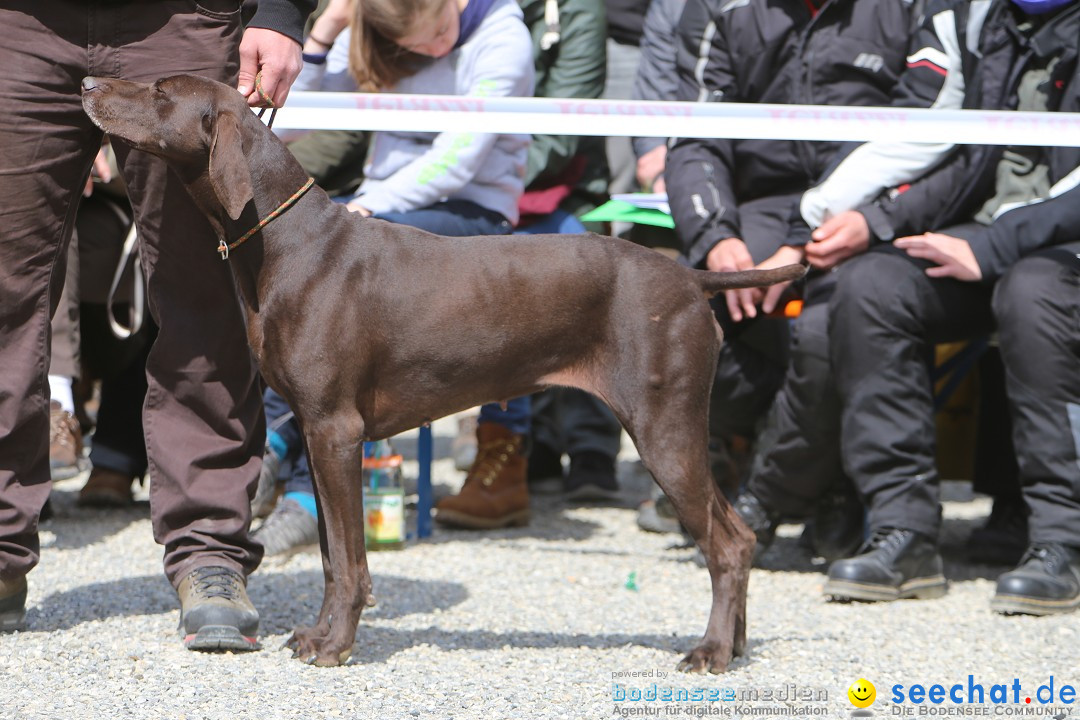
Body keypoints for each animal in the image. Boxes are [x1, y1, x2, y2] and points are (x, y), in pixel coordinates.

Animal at [82, 73, 803, 669]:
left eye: (160, 91)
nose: (88, 82)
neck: (287, 243)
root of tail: (691, 276)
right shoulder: (316, 435)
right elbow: (330, 556)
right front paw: (318, 635)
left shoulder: (337, 430)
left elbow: (349, 561)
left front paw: (337, 647)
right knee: (739, 537)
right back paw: (735, 645)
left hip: (663, 426)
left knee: (725, 545)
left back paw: (711, 651)